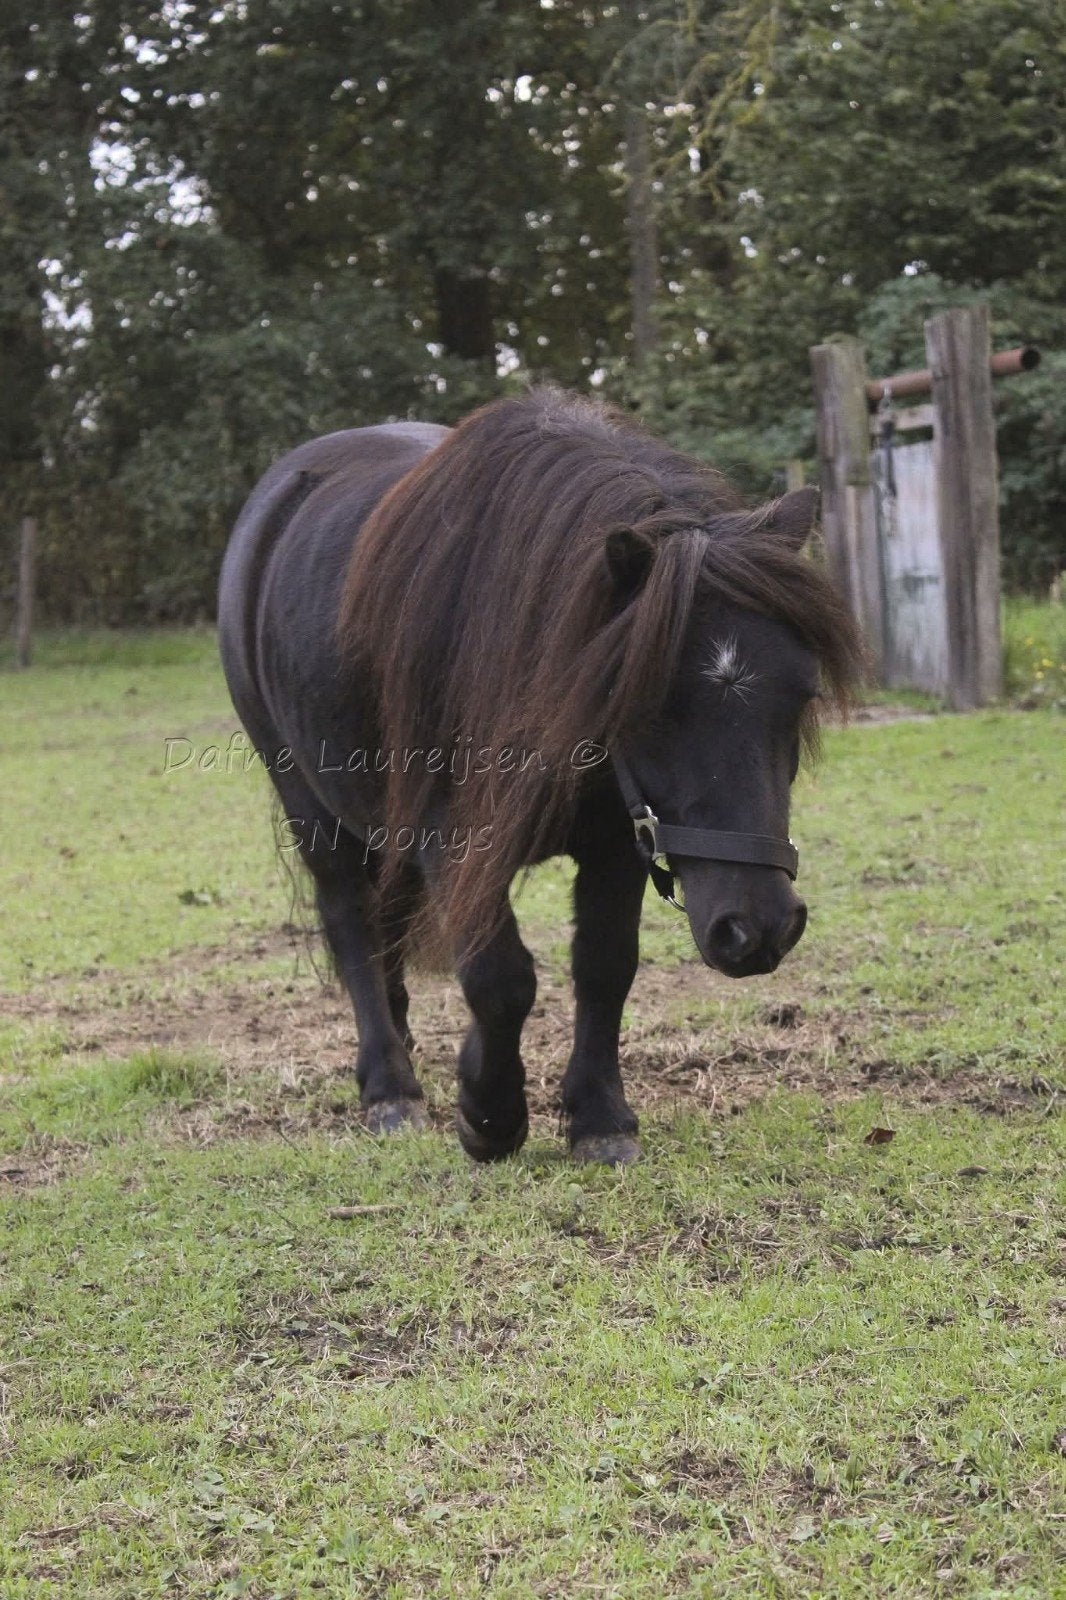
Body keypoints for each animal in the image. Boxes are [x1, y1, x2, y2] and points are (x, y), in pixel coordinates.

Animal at [218, 388, 861, 1165]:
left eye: (802, 694)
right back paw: (388, 1086)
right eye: (648, 702)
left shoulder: (620, 838)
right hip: (308, 803)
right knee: (351, 922)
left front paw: (600, 1117)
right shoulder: (454, 837)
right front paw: (489, 1112)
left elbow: (606, 965)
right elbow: (500, 978)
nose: (758, 927)